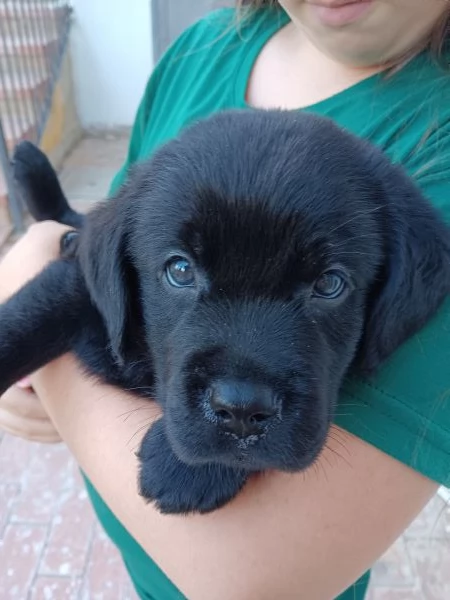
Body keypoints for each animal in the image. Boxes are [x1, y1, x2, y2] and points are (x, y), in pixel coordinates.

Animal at [0, 110, 450, 512]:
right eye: (181, 270)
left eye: (329, 284)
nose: (241, 409)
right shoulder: (76, 283)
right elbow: (23, 323)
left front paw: (186, 471)